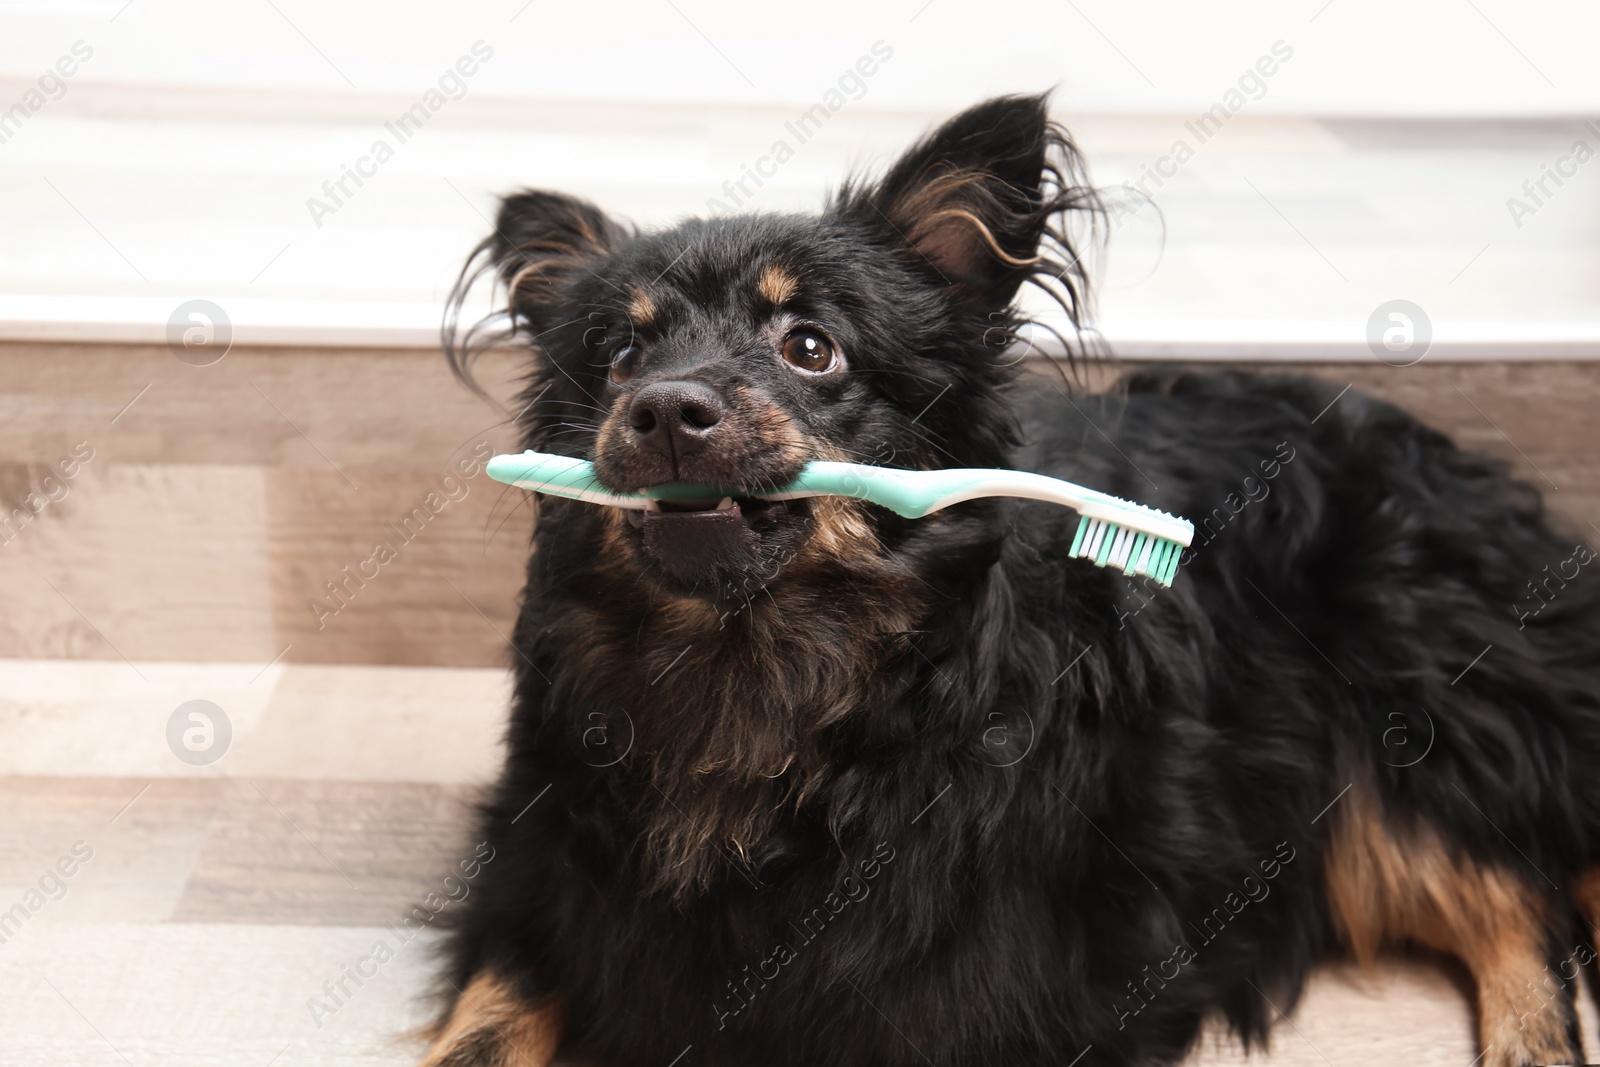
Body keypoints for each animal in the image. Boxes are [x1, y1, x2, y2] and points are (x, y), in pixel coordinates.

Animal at [425, 93, 1600, 1067]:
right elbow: (484, 1022)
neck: (759, 670)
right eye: (619, 354)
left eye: (810, 346)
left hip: (1399, 722)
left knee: (1520, 896)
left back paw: (1533, 1045)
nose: (665, 407)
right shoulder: (535, 884)